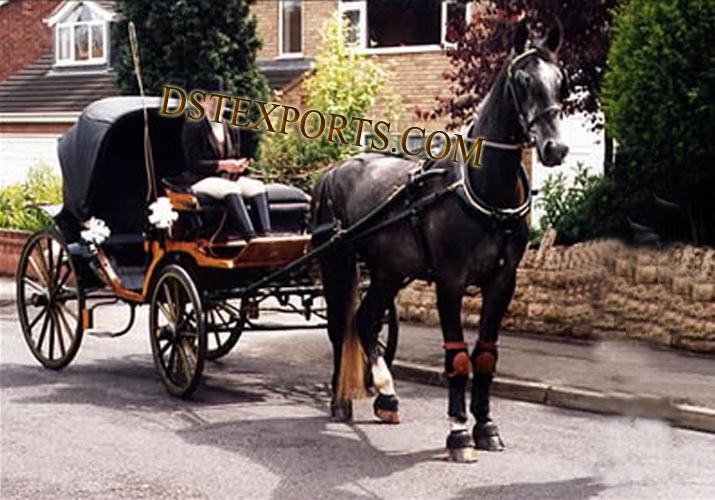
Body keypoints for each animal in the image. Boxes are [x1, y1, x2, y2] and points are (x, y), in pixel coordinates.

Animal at [314, 22, 572, 460]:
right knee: (338, 326)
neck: (480, 189)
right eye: (521, 80)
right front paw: (459, 433)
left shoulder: (503, 283)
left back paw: (386, 395)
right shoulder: (450, 281)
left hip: (388, 270)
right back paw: (340, 400)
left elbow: (484, 356)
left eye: (560, 79)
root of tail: (335, 170)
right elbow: (458, 357)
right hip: (337, 261)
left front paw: (486, 427)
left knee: (365, 320)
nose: (555, 147)